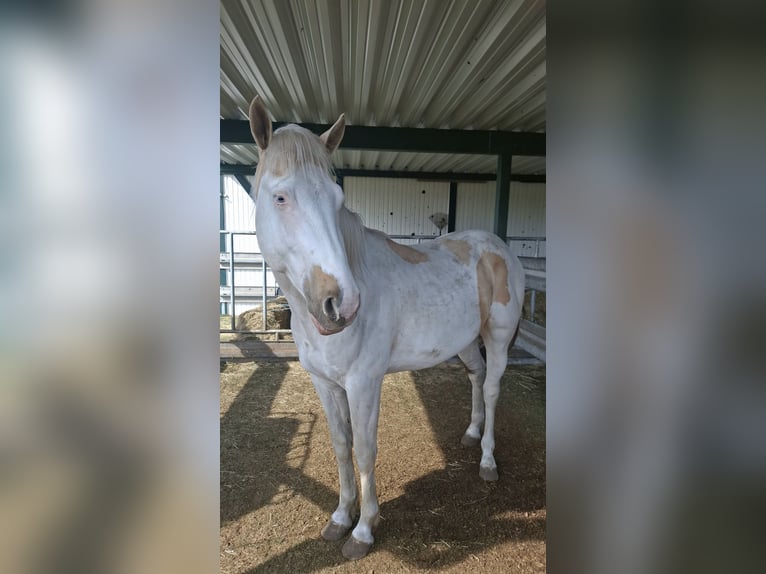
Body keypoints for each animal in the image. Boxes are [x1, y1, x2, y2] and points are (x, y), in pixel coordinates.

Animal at [248, 96, 525, 560]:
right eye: (280, 196)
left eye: (337, 198)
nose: (341, 304)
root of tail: (499, 248)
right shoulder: (324, 383)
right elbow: (340, 447)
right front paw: (339, 518)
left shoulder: (364, 382)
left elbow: (364, 451)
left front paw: (363, 530)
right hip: (465, 342)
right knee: (476, 376)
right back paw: (470, 434)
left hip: (498, 337)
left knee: (491, 388)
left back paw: (487, 461)